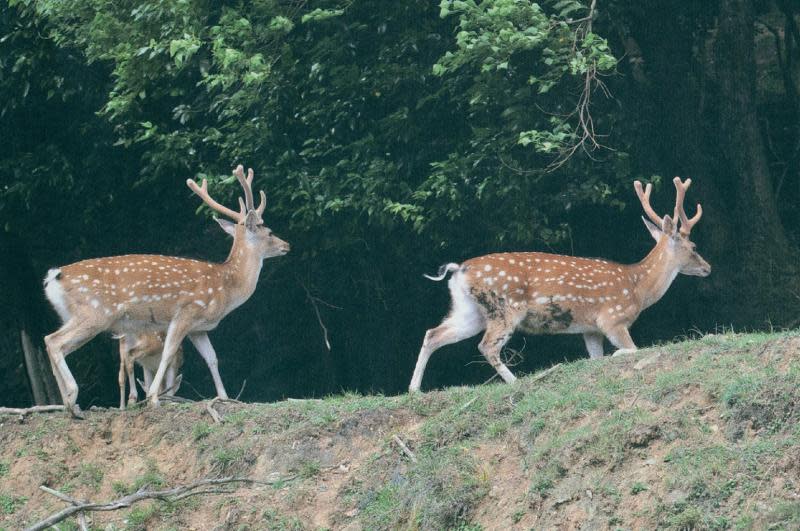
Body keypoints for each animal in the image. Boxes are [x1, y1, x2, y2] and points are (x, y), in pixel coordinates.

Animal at [42, 164, 290, 418]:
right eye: (269, 232)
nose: (286, 245)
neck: (225, 288)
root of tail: (54, 276)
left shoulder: (198, 329)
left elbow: (212, 358)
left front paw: (224, 397)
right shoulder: (185, 313)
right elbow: (169, 352)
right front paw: (154, 398)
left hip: (75, 315)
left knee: (50, 341)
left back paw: (68, 405)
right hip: (95, 312)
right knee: (54, 341)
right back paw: (73, 397)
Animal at [410, 178, 708, 390]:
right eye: (693, 247)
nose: (708, 267)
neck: (637, 288)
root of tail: (459, 270)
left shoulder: (590, 329)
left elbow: (597, 357)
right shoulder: (613, 318)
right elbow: (633, 349)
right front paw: (618, 355)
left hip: (470, 311)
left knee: (433, 334)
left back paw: (414, 390)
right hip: (505, 307)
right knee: (486, 345)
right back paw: (516, 381)